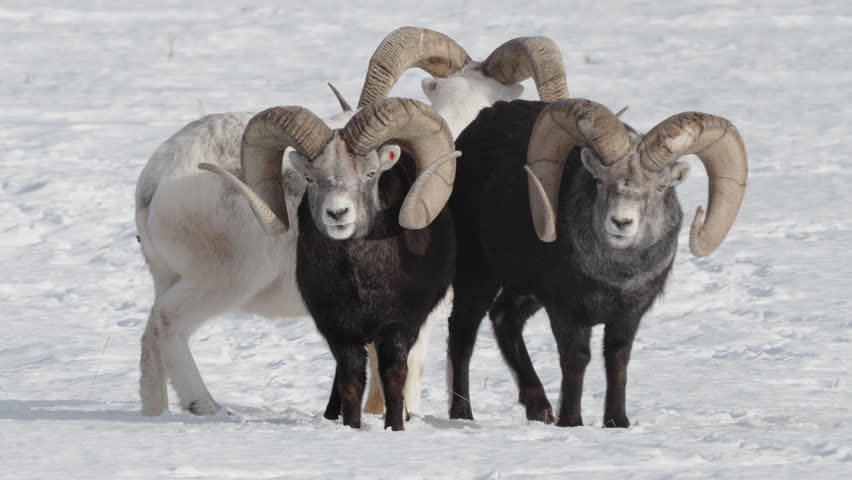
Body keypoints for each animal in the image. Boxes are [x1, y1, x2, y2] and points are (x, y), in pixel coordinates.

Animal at [204, 97, 461, 430]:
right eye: (311, 178)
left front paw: (395, 427)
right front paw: (351, 427)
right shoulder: (339, 331)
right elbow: (350, 383)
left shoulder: (399, 328)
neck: (361, 286)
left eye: (371, 174)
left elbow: (394, 380)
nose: (337, 213)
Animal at [446, 98, 748, 427]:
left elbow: (617, 362)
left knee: (504, 319)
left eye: (660, 188)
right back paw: (463, 414)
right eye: (600, 181)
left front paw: (617, 422)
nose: (621, 222)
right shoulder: (567, 313)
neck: (615, 278)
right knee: (464, 331)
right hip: (477, 273)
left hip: (524, 291)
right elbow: (576, 361)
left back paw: (540, 409)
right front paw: (571, 422)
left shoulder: (627, 318)